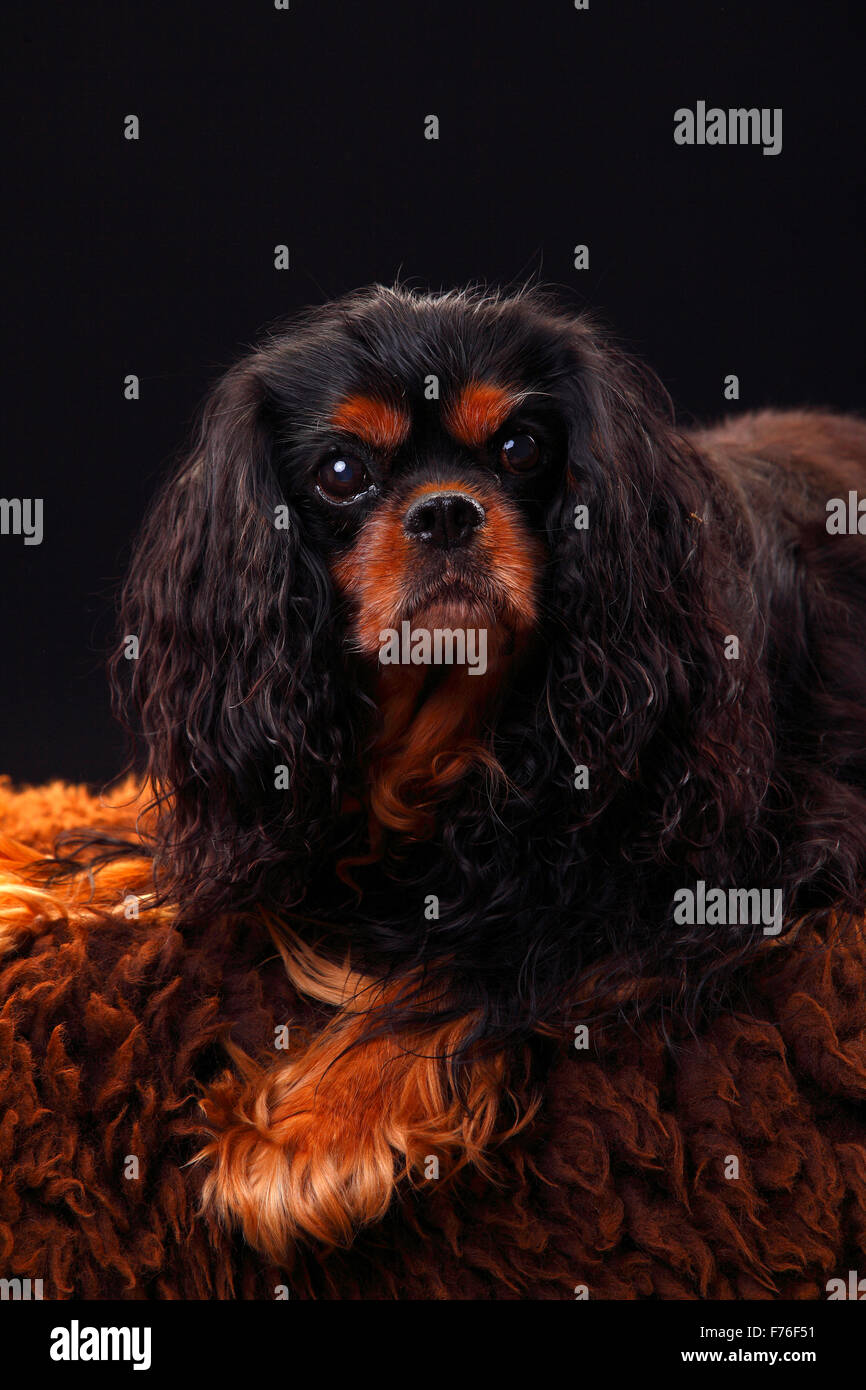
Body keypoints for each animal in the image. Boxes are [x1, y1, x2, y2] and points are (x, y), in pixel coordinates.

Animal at [1, 284, 866, 1278]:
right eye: (341, 470)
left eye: (520, 447)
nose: (446, 511)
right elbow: (158, 864)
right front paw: (34, 884)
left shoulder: (728, 859)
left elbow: (473, 966)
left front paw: (313, 1130)